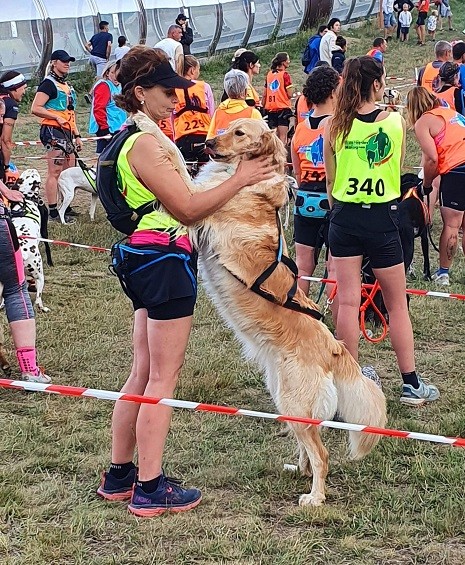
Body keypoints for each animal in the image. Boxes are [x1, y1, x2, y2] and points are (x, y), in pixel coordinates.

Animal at [189, 117, 388, 504]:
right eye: (226, 128)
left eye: (239, 133)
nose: (207, 144)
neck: (245, 180)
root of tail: (335, 346)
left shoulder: (202, 208)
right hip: (285, 400)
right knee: (310, 449)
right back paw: (299, 470)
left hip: (294, 403)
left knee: (322, 454)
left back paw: (314, 498)